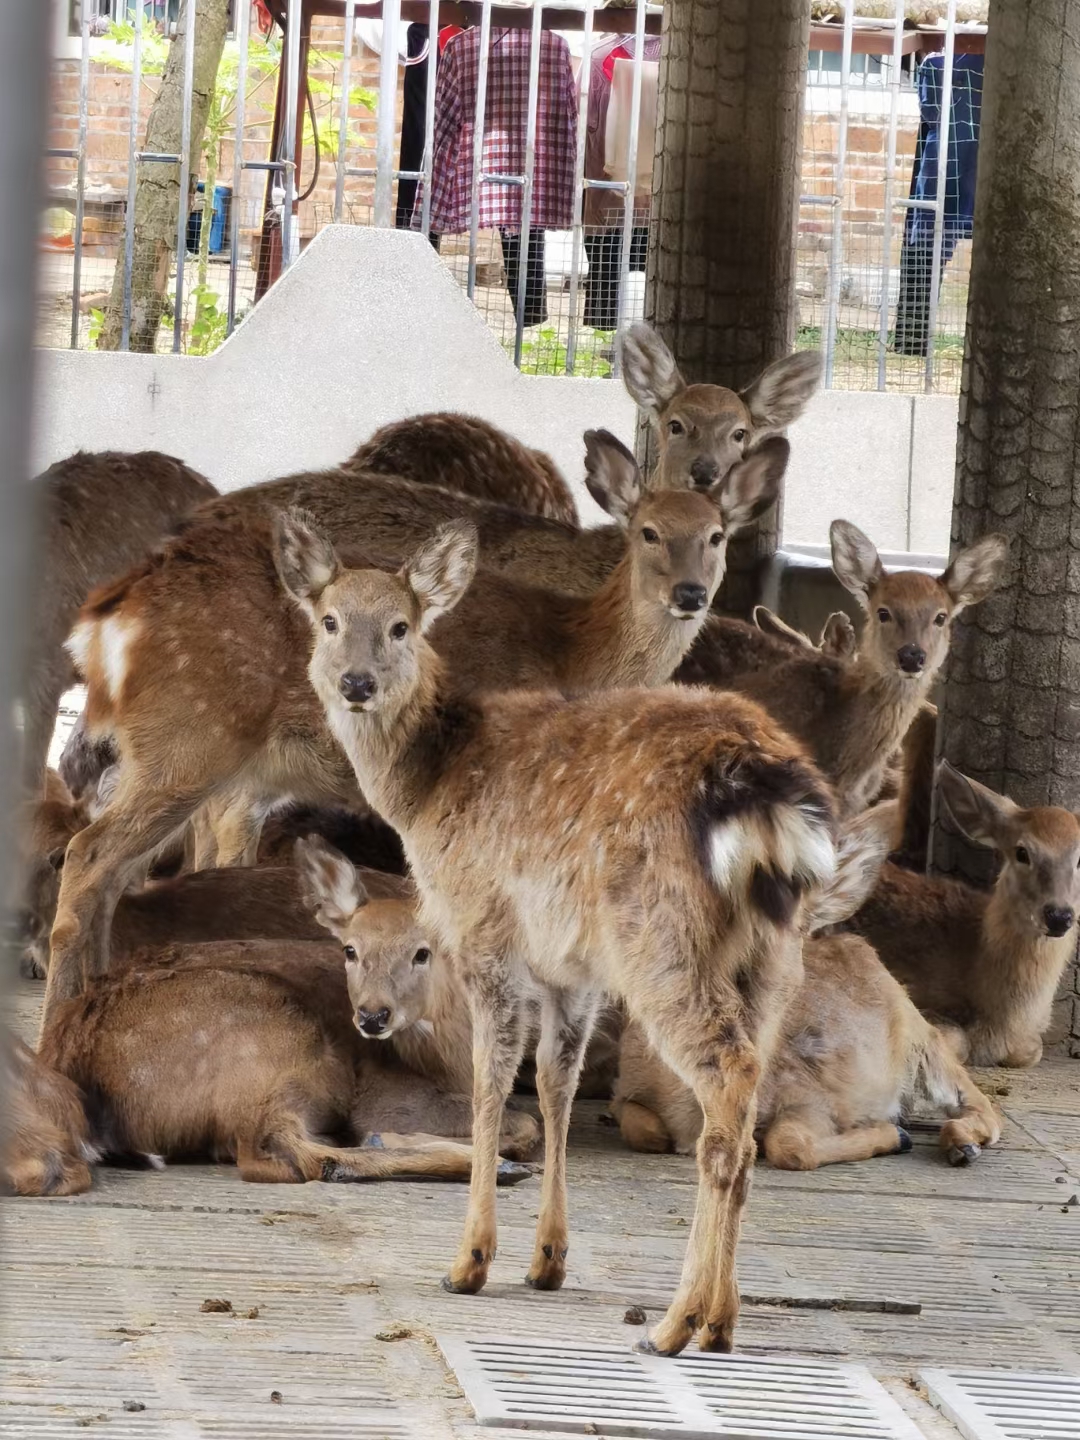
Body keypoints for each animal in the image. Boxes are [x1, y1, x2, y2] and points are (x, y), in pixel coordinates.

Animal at [43, 433, 786, 1018]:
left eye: (717, 536)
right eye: (648, 532)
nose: (689, 594)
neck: (574, 651)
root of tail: (110, 613)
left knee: (120, 869)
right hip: (189, 740)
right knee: (90, 855)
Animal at [282, 512, 839, 1358]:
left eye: (403, 625)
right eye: (330, 620)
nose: (357, 682)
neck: (428, 791)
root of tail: (763, 789)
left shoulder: (482, 930)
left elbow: (489, 1084)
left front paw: (470, 1262)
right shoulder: (571, 969)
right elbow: (555, 1085)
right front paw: (547, 1261)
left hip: (659, 938)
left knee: (726, 1084)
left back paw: (673, 1324)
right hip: (775, 952)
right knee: (747, 1111)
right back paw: (722, 1321)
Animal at [613, 806, 1001, 1170]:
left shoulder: (813, 1096)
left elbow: (789, 1144)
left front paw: (893, 1135)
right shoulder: (626, 1090)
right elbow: (640, 1127)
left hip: (921, 1043)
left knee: (980, 1104)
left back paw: (959, 1144)